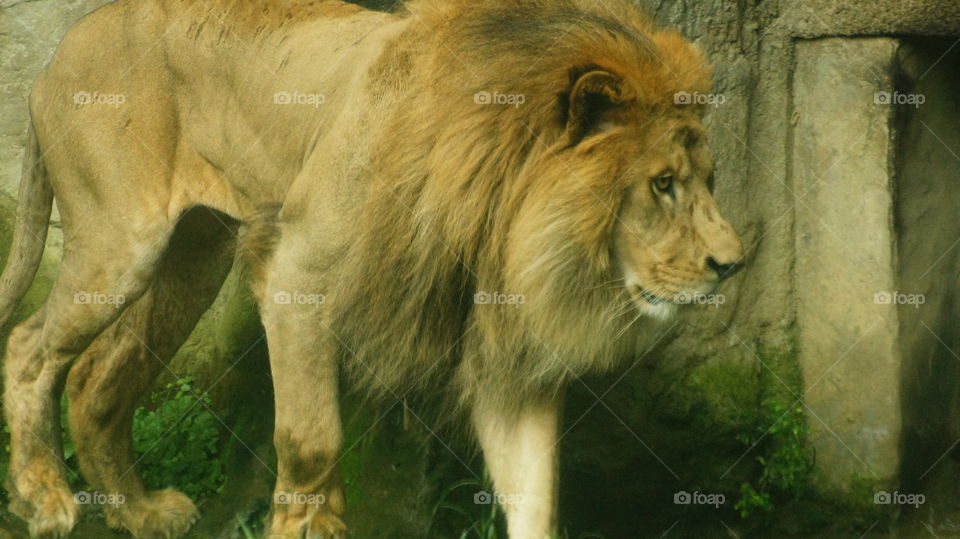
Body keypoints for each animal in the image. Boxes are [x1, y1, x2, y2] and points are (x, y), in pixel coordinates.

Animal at [0, 0, 743, 537]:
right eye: (663, 184)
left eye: (709, 180)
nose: (733, 265)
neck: (493, 217)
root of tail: (52, 59)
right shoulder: (295, 273)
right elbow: (312, 440)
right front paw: (308, 526)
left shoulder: (511, 362)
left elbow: (536, 495)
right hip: (120, 242)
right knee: (30, 349)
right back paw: (47, 501)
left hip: (197, 255)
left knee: (96, 378)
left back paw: (139, 513)